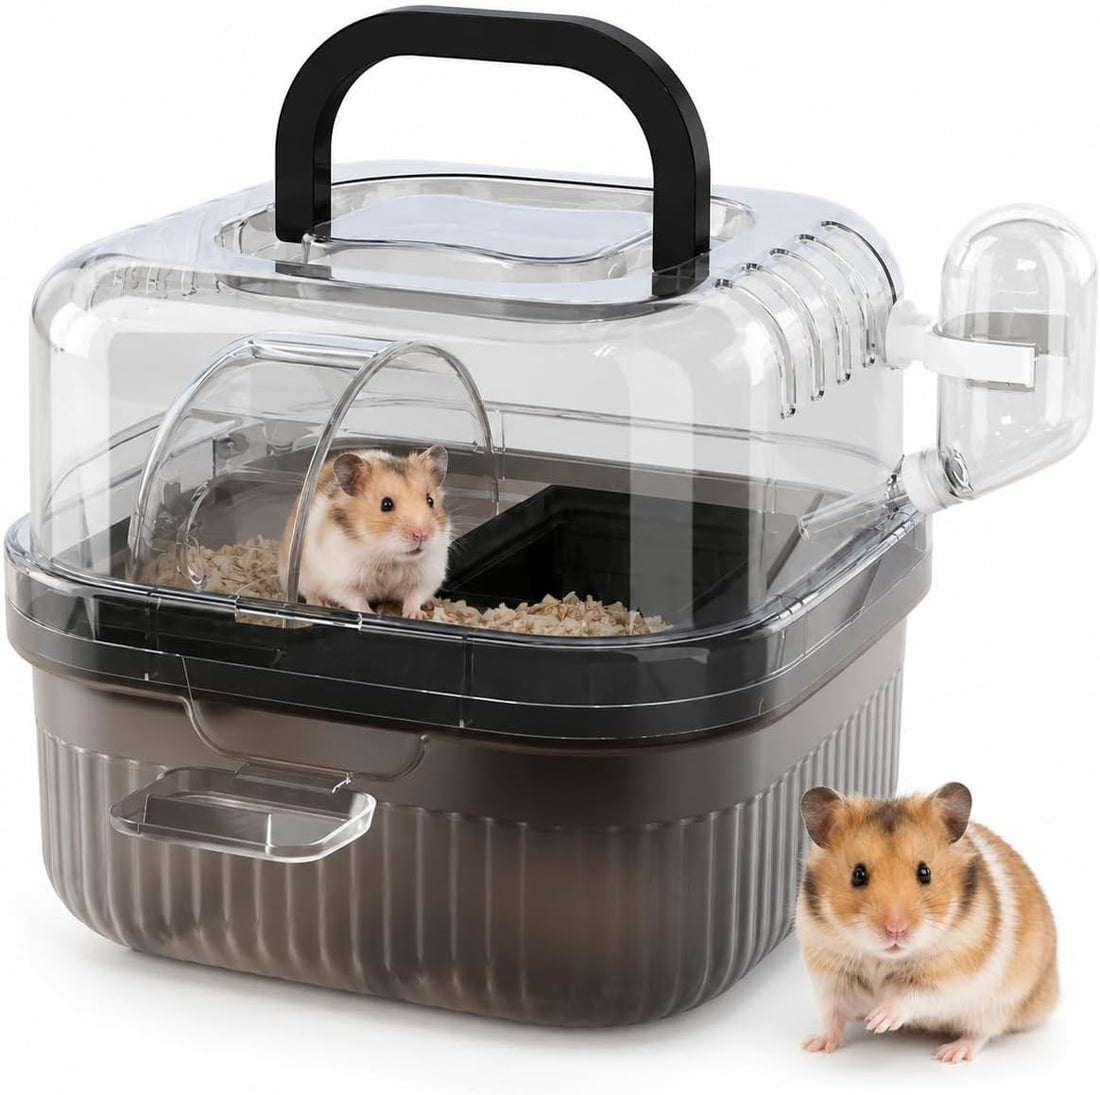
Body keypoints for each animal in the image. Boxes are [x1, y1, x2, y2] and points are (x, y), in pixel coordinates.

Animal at [278, 445, 452, 619]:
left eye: (430, 500)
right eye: (386, 504)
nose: (421, 535)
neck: (390, 559)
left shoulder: (427, 576)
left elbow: (415, 596)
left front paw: (417, 615)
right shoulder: (342, 581)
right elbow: (356, 600)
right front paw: (369, 613)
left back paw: (433, 602)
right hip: (299, 574)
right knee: (309, 593)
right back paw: (323, 603)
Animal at [796, 782, 1057, 1064]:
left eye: (925, 872)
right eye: (858, 874)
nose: (896, 929)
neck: (884, 959)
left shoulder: (953, 977)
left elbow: (913, 995)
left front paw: (878, 1021)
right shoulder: (829, 974)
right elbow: (831, 1015)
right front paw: (812, 1045)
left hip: (1001, 1005)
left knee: (980, 1033)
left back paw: (950, 1053)